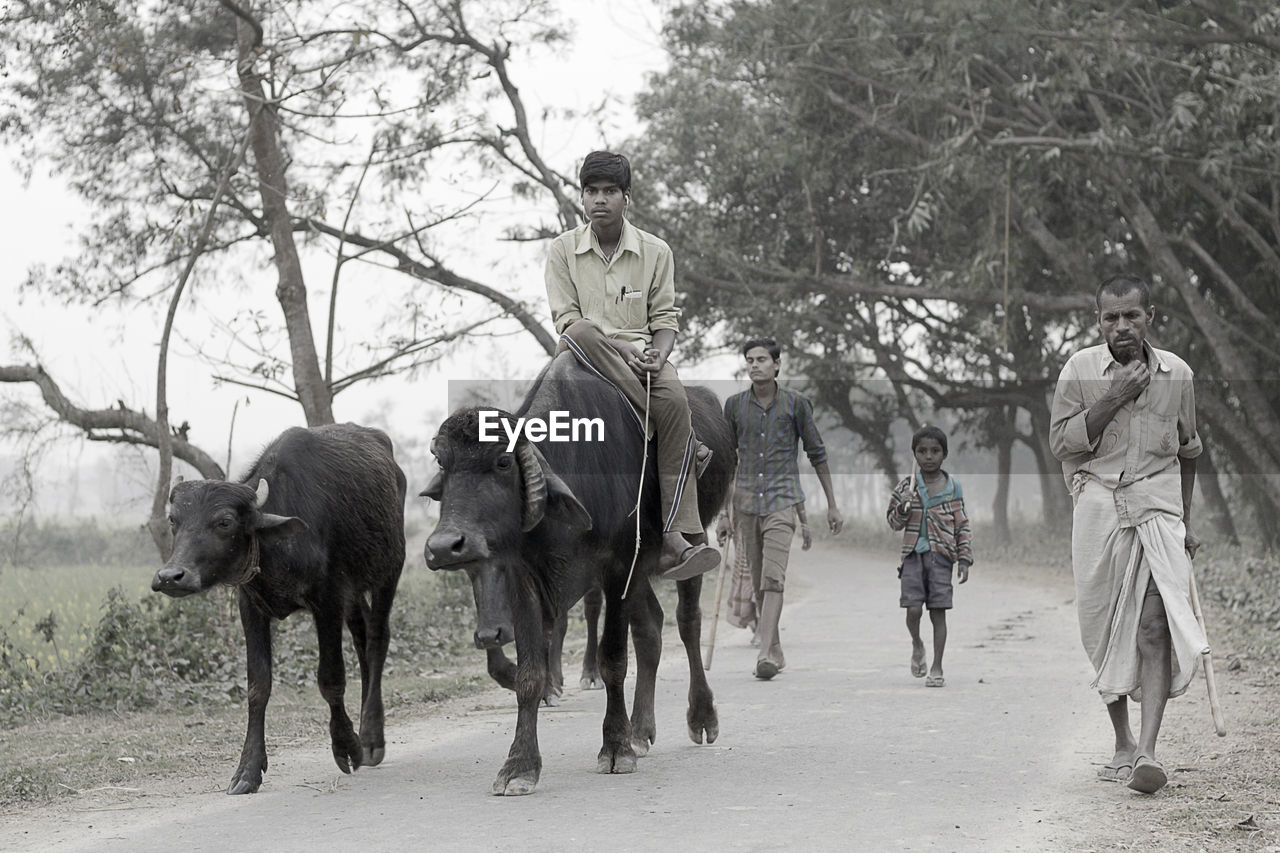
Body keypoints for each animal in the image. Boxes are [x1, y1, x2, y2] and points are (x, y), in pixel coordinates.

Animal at [152, 422, 407, 794]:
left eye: (224, 522)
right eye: (174, 520)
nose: (171, 577)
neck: (279, 547)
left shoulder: (327, 600)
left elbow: (330, 678)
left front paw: (347, 745)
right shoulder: (251, 607)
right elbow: (258, 686)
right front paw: (248, 769)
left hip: (390, 568)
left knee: (377, 639)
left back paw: (372, 737)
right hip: (354, 592)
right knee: (361, 640)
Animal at [424, 350, 737, 788]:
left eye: (503, 461)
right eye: (443, 462)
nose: (445, 546)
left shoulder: (618, 567)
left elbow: (613, 660)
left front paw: (616, 748)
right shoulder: (526, 579)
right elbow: (530, 674)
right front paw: (520, 765)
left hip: (693, 538)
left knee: (687, 622)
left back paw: (700, 716)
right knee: (651, 630)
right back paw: (641, 729)